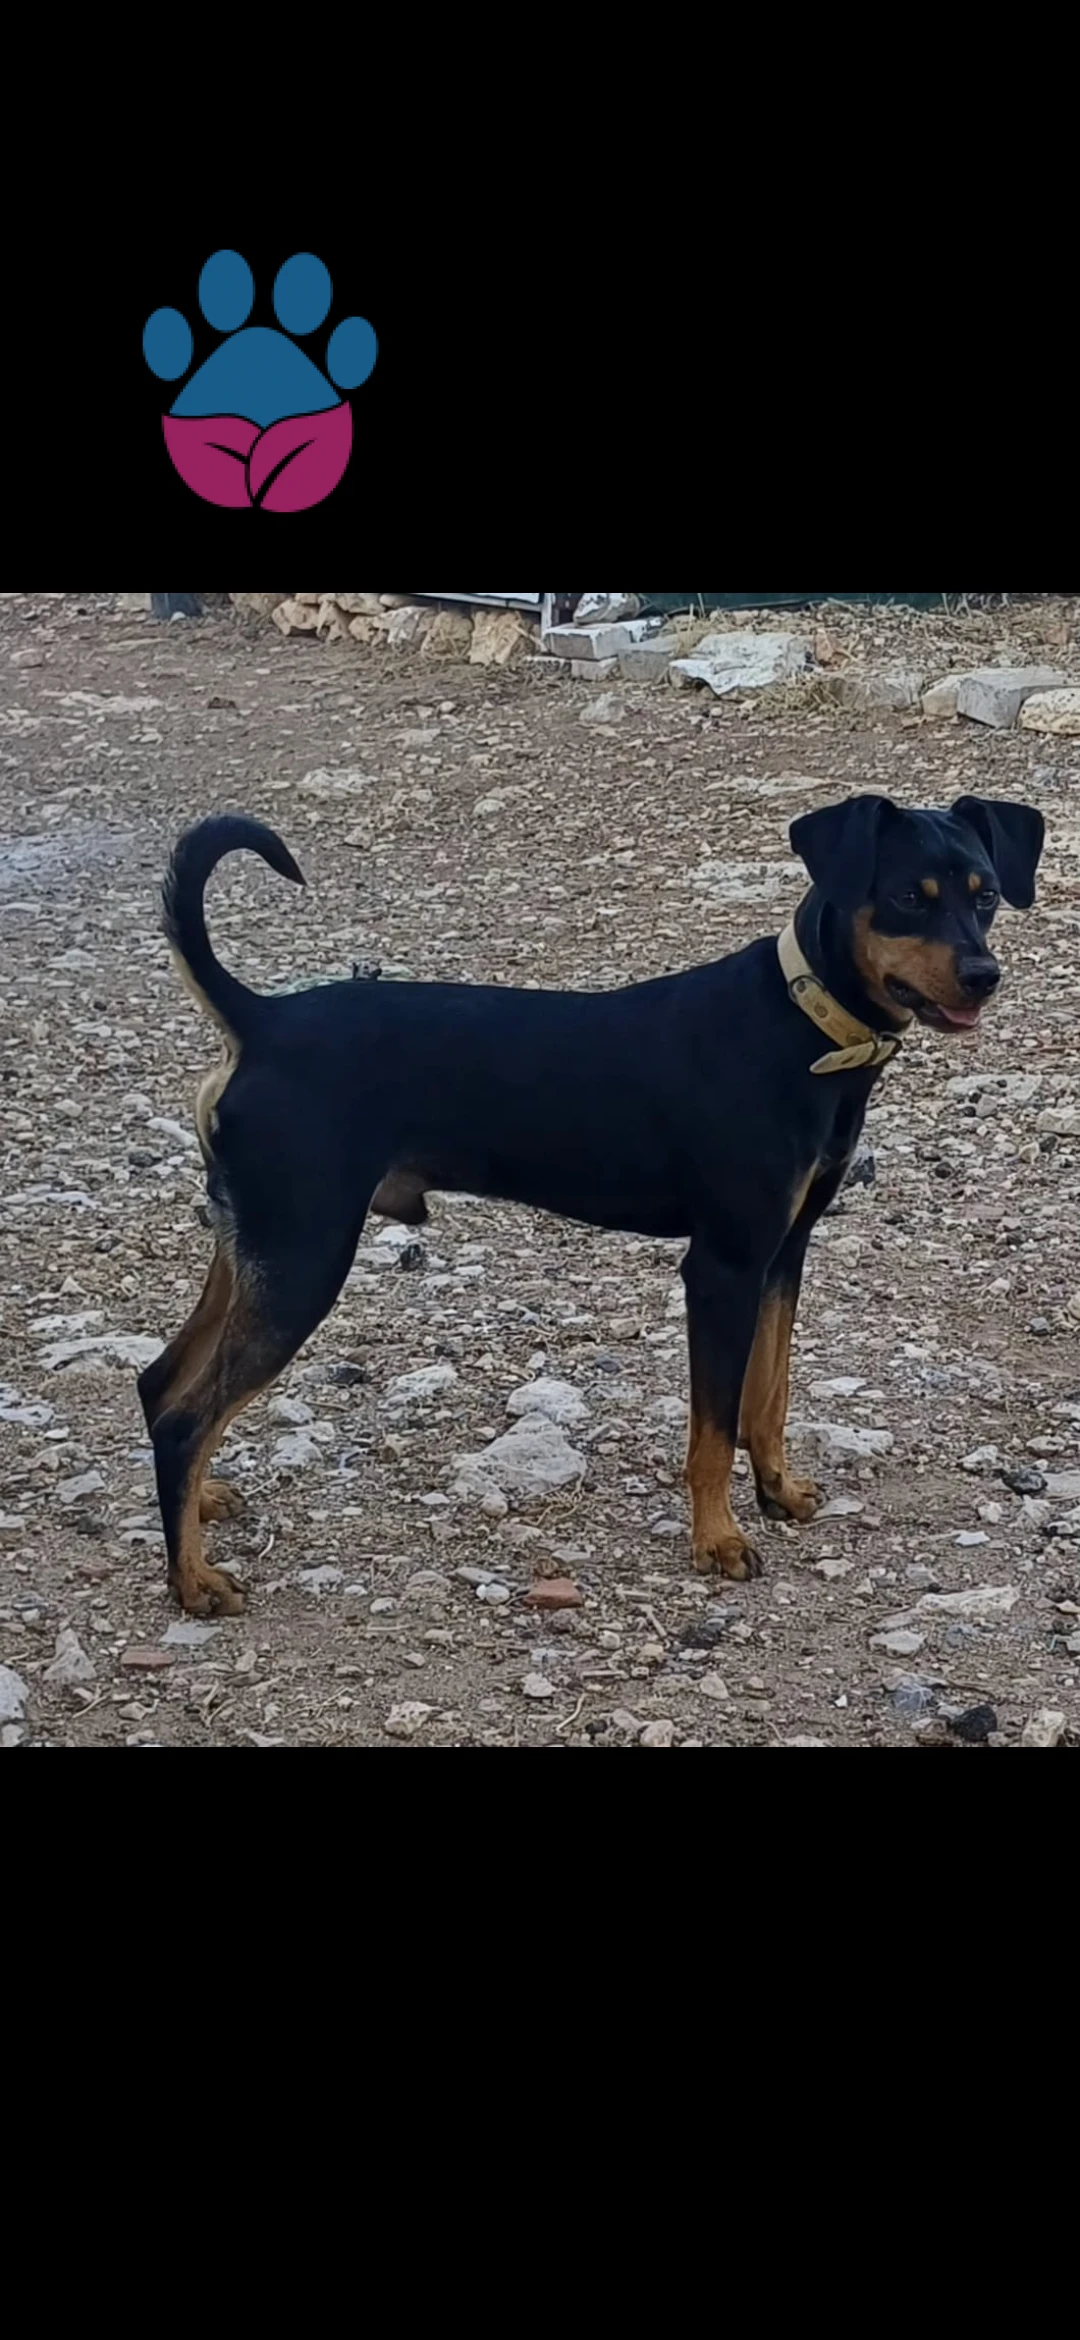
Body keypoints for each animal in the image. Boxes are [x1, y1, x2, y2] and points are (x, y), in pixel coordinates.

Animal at [138, 792, 1044, 1616]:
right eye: (907, 898)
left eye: (986, 895)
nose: (984, 977)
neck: (805, 1026)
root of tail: (263, 1021)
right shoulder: (723, 1267)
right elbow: (714, 1428)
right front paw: (717, 1539)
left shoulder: (784, 1256)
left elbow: (770, 1397)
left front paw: (779, 1492)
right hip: (304, 1257)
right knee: (187, 1415)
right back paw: (194, 1581)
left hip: (255, 1249)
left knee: (162, 1385)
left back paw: (202, 1504)